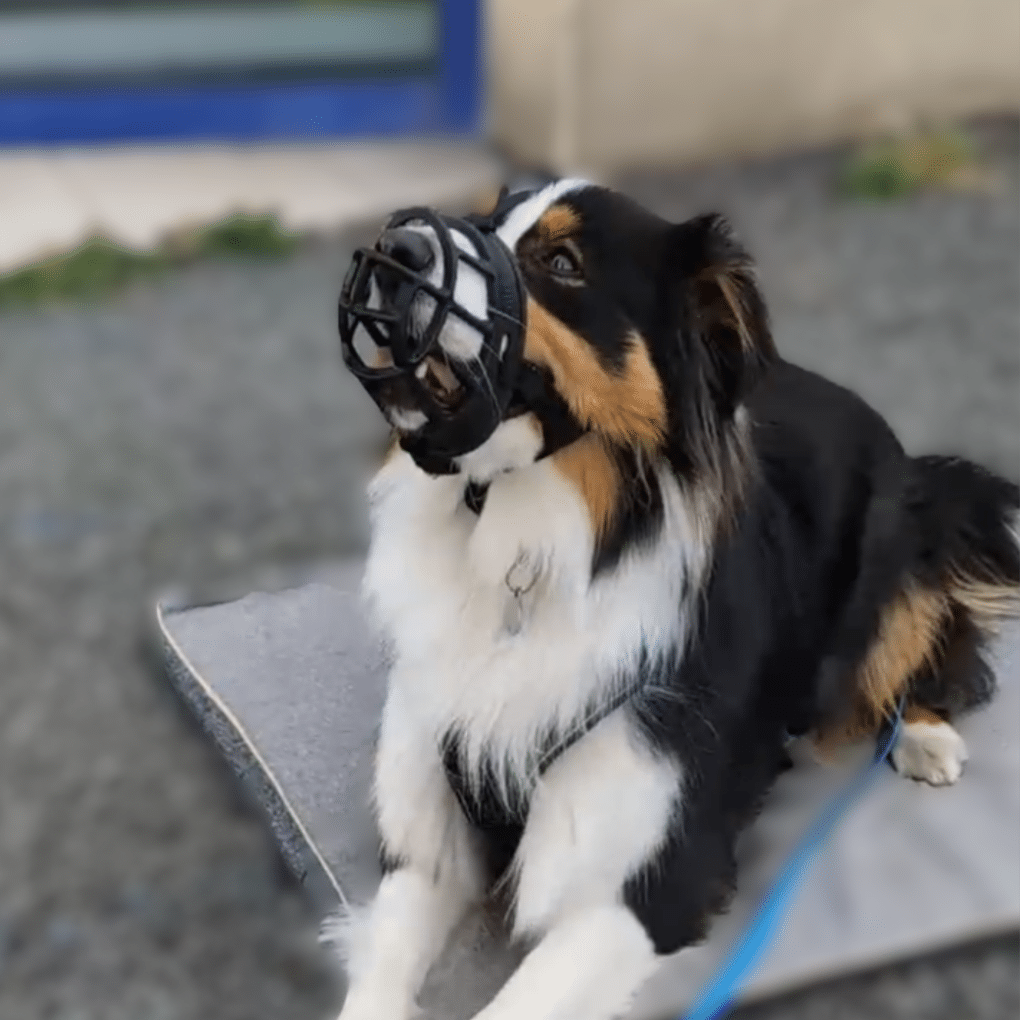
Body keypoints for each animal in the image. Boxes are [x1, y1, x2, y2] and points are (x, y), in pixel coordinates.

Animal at [328, 179, 1020, 1015]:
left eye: (562, 262)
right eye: (486, 220)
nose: (395, 250)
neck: (520, 547)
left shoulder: (642, 886)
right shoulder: (423, 850)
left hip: (895, 567)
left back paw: (923, 736)